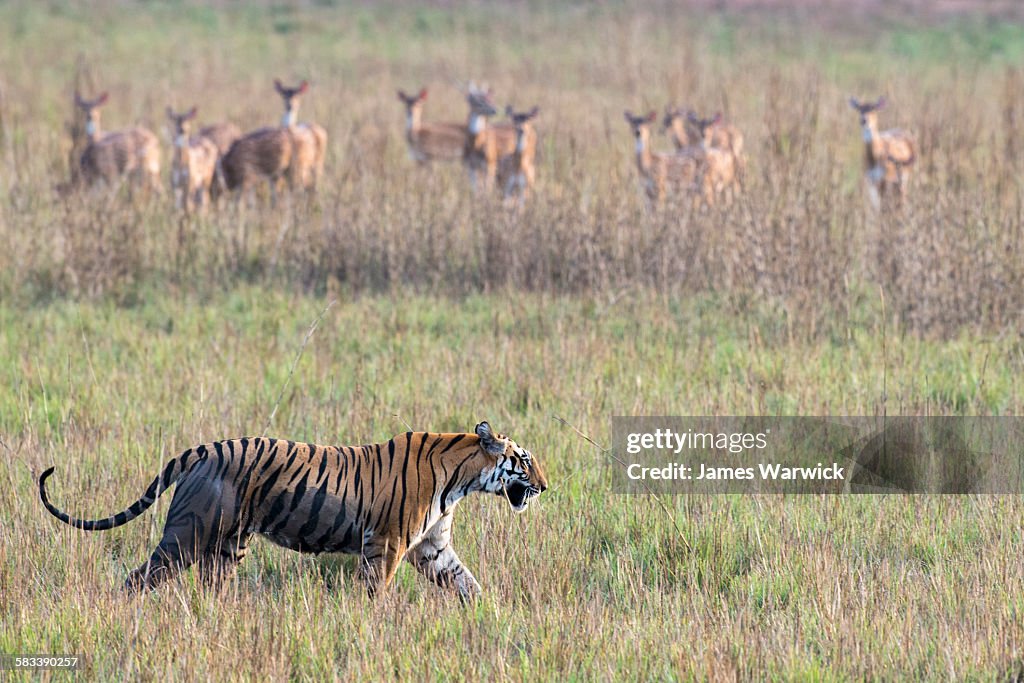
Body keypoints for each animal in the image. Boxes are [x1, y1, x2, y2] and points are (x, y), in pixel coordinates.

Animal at [38, 419, 544, 602]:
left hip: (228, 546)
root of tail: (203, 449)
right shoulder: (387, 543)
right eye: (524, 460)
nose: (544, 486)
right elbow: (376, 591)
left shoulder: (432, 548)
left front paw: (488, 614)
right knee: (139, 577)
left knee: (210, 587)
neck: (463, 478)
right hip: (187, 535)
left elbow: (467, 582)